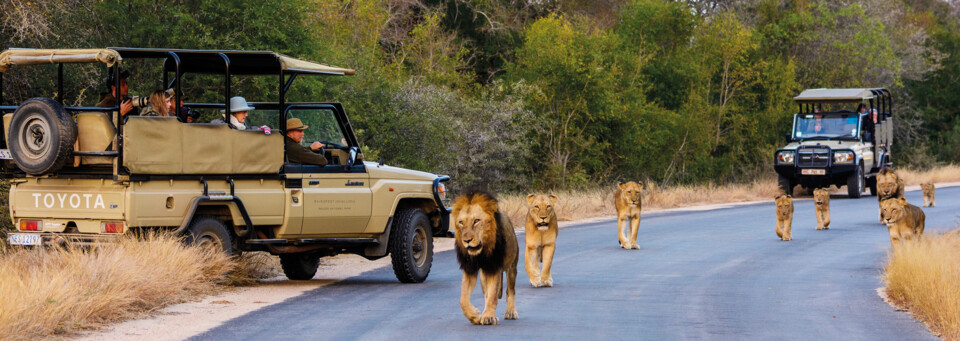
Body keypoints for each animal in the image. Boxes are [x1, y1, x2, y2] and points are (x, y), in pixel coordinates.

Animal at [452, 189, 516, 324]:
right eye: (461, 222)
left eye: (476, 221)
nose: (467, 240)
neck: (480, 254)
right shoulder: (470, 269)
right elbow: (463, 299)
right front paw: (475, 316)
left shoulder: (494, 267)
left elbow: (492, 296)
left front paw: (487, 317)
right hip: (483, 276)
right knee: (486, 293)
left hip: (512, 267)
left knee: (510, 291)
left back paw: (511, 312)